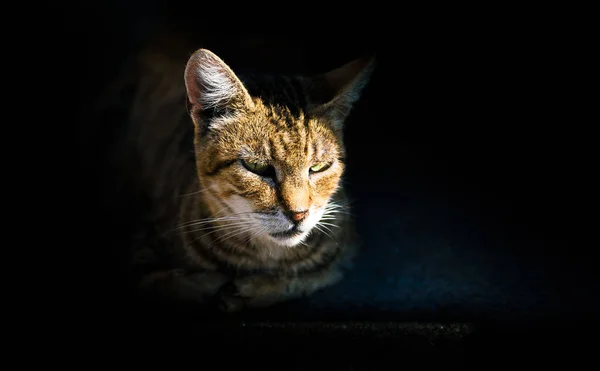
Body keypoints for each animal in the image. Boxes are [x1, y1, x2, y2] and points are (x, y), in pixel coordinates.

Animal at [111, 41, 376, 314]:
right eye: (256, 167)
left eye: (319, 167)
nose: (299, 214)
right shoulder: (137, 248)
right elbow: (167, 282)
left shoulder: (343, 250)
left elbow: (305, 278)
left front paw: (252, 289)